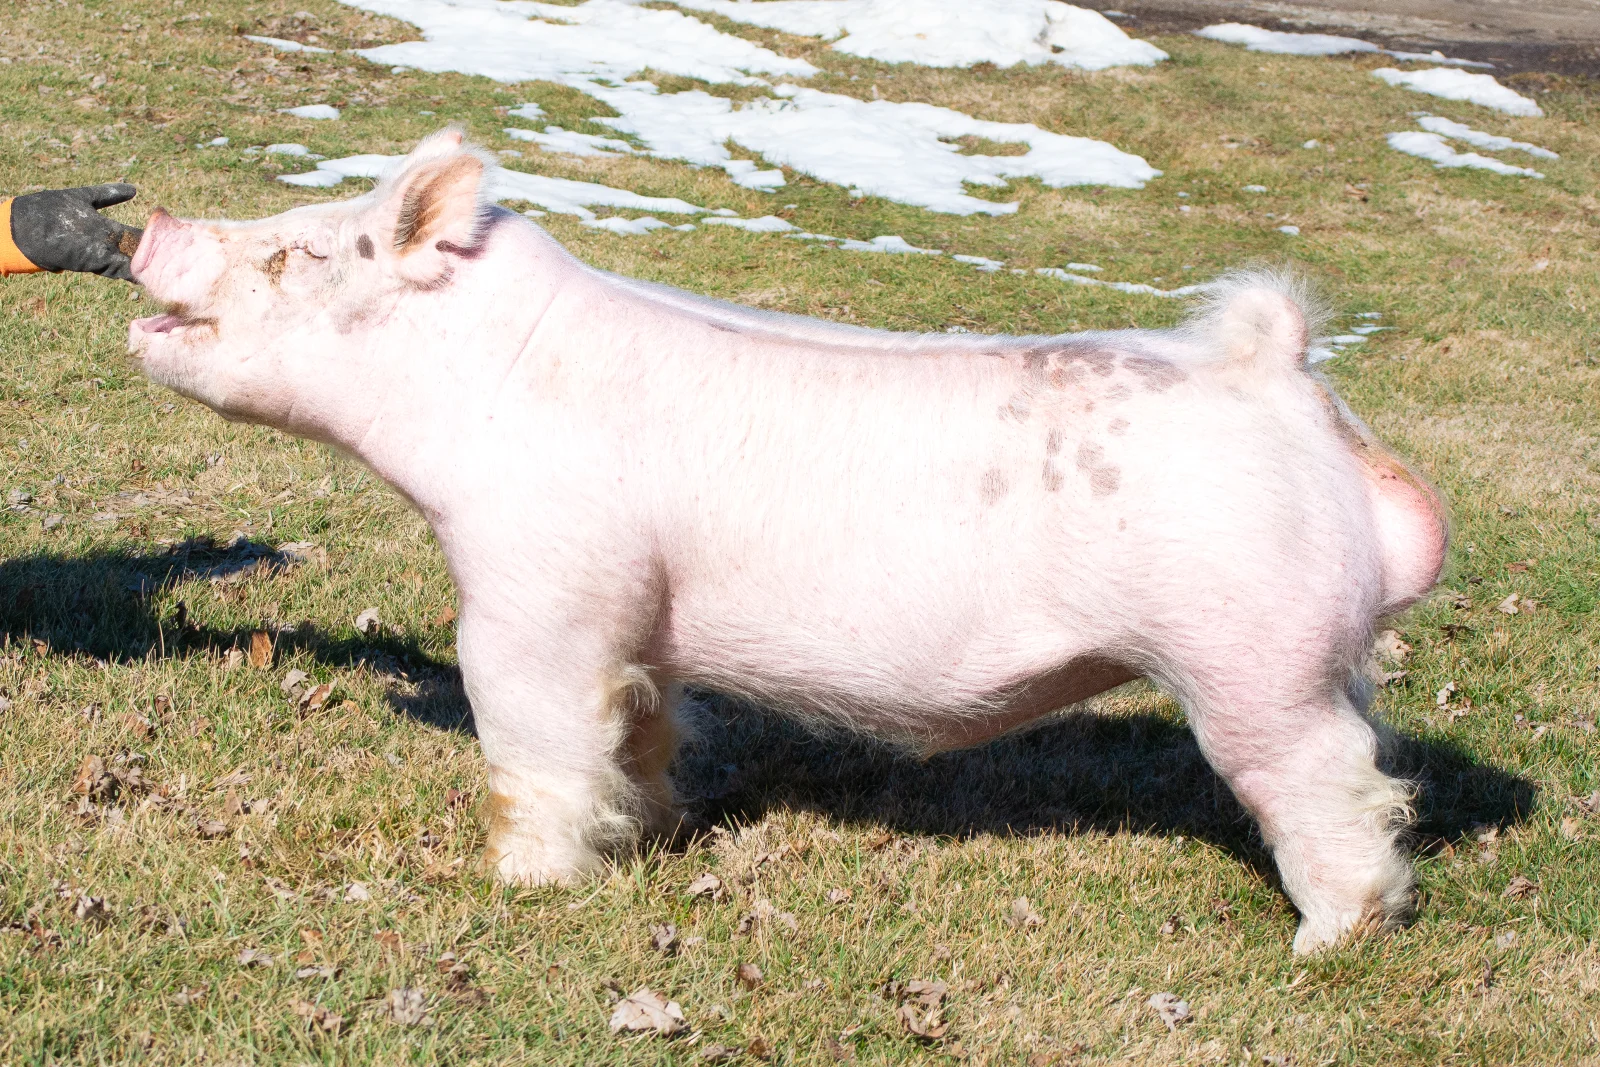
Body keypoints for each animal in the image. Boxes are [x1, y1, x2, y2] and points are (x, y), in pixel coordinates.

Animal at [129, 130, 1446, 954]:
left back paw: (1326, 941)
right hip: (1318, 655)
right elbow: (645, 726)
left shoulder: (536, 593)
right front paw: (654, 829)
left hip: (1253, 658)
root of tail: (1274, 372)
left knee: (1338, 786)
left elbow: (534, 737)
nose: (149, 223)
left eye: (296, 254)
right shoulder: (642, 624)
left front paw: (524, 882)